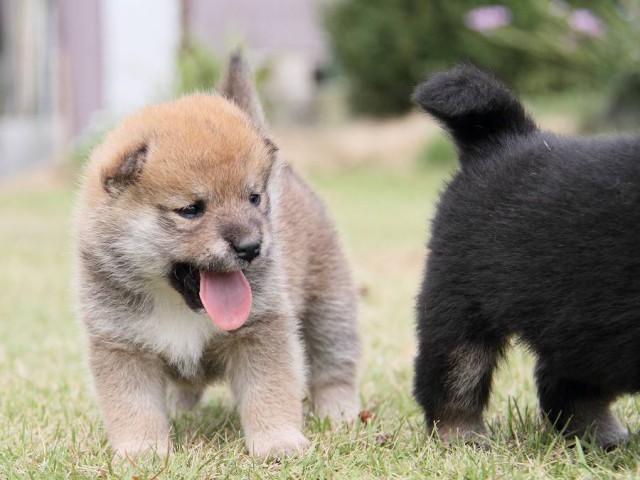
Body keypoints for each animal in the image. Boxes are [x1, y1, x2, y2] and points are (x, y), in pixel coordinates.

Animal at [75, 54, 360, 460]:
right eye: (191, 209)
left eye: (253, 198)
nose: (251, 247)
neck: (179, 306)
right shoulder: (122, 346)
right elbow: (134, 407)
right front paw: (142, 451)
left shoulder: (261, 331)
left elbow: (269, 392)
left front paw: (278, 441)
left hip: (329, 307)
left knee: (335, 365)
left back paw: (339, 411)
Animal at [410, 65, 640, 448]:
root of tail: (502, 140)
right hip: (458, 299)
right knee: (454, 372)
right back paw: (461, 434)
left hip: (581, 326)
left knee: (565, 386)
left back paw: (599, 435)